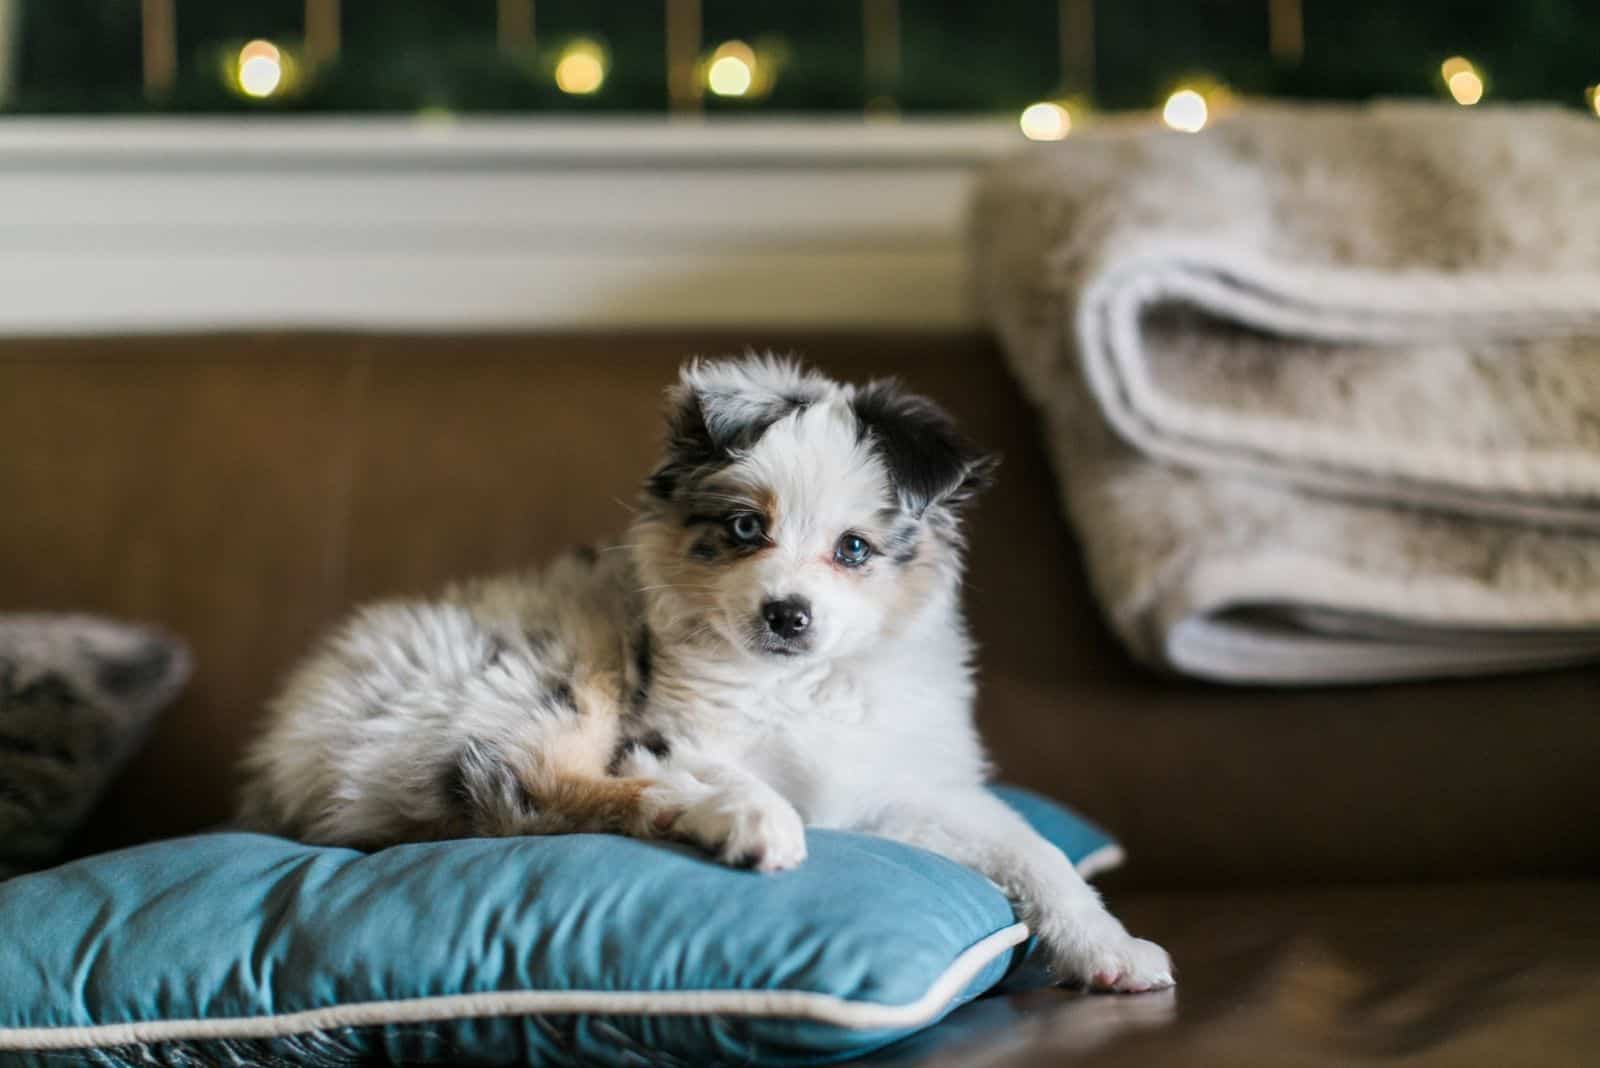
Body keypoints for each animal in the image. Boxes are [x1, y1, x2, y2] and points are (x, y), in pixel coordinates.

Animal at [246, 356, 1177, 991]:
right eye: (743, 528)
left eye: (854, 549)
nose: (786, 615)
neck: (801, 686)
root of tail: (297, 734)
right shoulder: (671, 734)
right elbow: (711, 770)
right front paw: (751, 810)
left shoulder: (913, 789)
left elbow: (1035, 852)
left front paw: (1111, 951)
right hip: (551, 671)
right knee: (542, 790)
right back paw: (742, 824)